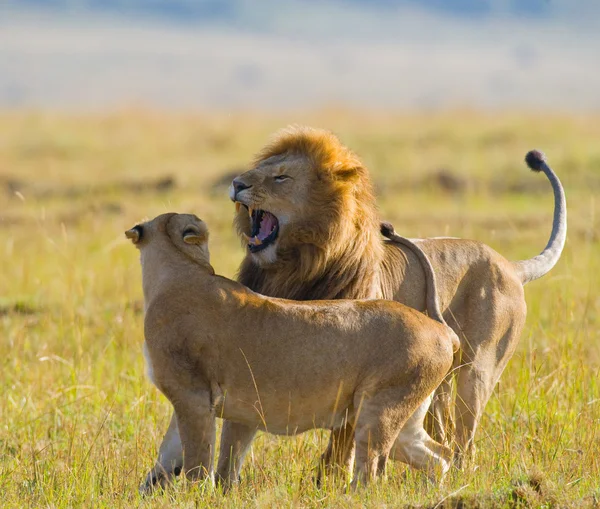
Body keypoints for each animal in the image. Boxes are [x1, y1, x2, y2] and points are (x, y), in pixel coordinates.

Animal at [126, 213, 454, 488]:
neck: (181, 268)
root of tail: (442, 330)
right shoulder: (189, 398)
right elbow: (167, 454)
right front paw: (148, 491)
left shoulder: (193, 396)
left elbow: (197, 461)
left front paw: (196, 495)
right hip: (403, 418)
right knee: (439, 455)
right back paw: (434, 491)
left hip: (377, 410)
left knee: (371, 470)